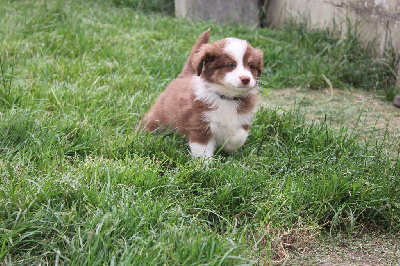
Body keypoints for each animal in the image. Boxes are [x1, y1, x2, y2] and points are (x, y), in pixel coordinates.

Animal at [142, 29, 264, 158]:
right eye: (231, 65)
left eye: (251, 66)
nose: (246, 79)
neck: (225, 97)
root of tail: (183, 76)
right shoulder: (200, 124)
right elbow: (203, 150)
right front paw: (205, 163)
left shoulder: (244, 119)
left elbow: (239, 136)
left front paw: (228, 146)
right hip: (160, 117)